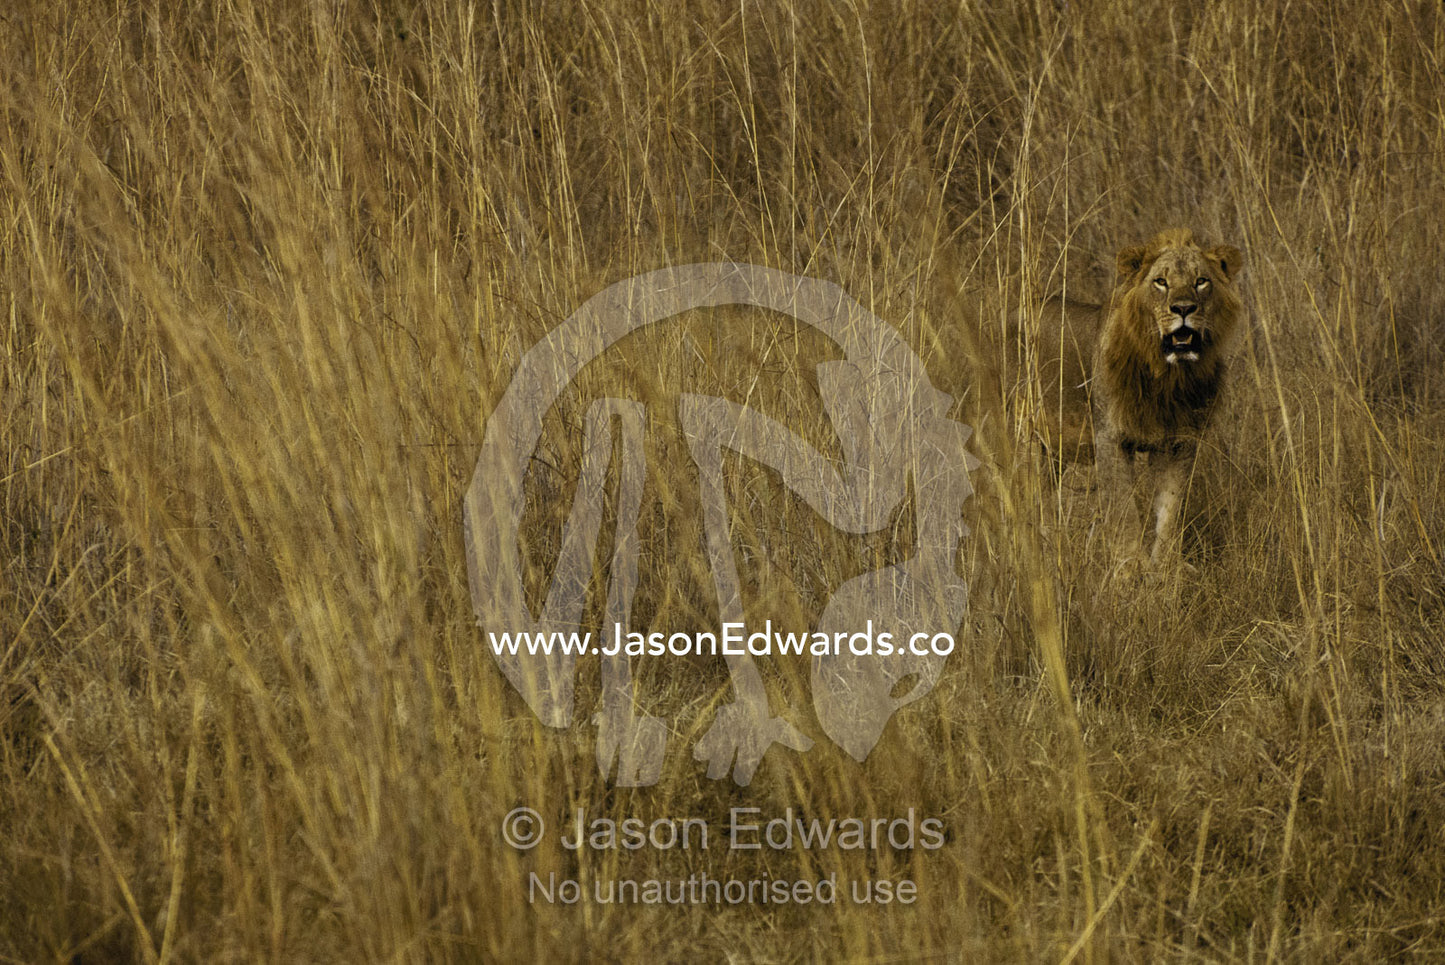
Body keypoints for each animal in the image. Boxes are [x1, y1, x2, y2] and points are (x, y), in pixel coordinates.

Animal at [1034, 228, 1246, 567]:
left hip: (1052, 453)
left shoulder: (1179, 442)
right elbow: (1125, 514)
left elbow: (1170, 512)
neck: (1169, 378)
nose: (1183, 309)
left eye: (1201, 281)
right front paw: (1130, 569)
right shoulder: (1110, 438)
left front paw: (1166, 568)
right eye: (1161, 282)